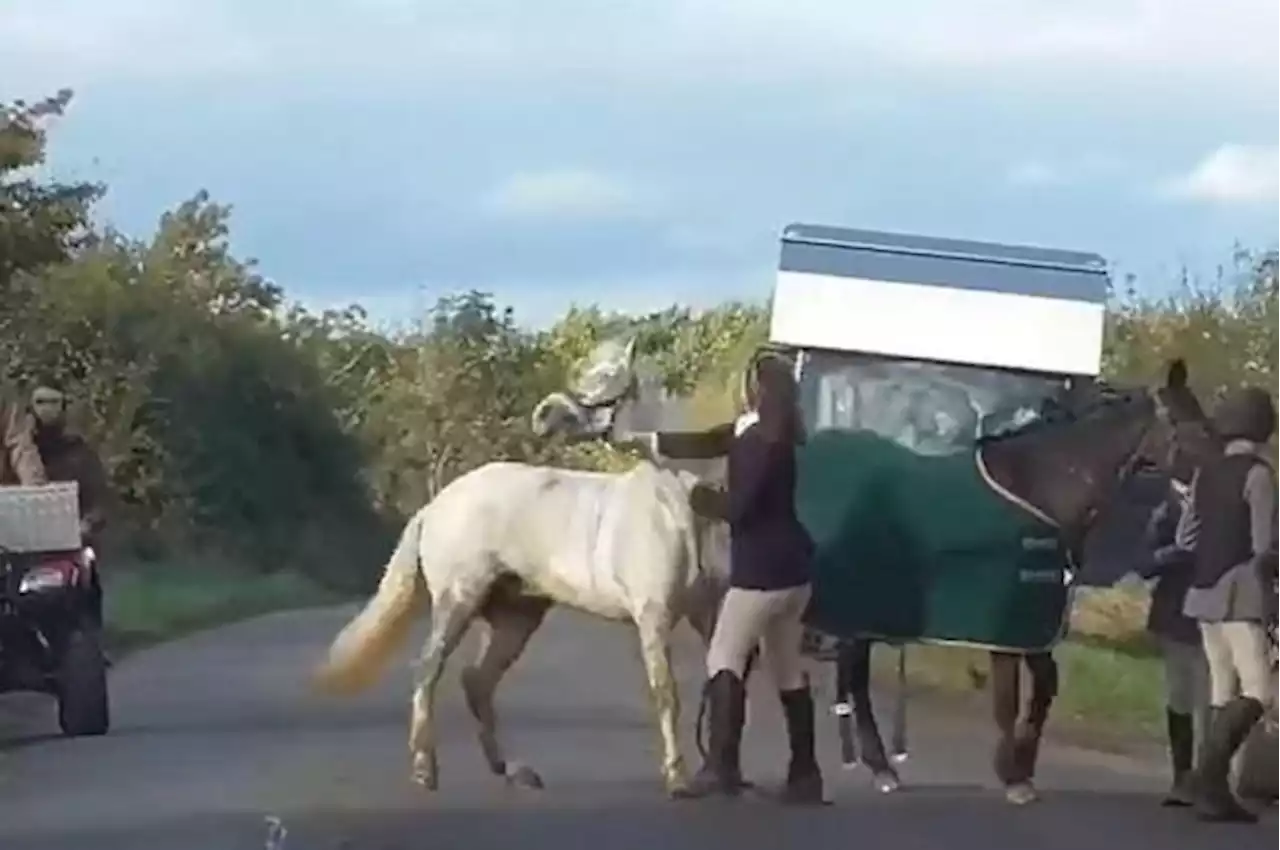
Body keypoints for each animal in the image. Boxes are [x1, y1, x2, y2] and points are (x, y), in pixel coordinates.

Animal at [311, 337, 732, 798]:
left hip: (516, 617)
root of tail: (435, 506)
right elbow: (666, 693)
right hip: (458, 602)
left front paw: (719, 774)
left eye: (607, 376)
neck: (676, 506)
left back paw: (512, 770)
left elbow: (722, 678)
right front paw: (678, 778)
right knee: (429, 669)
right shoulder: (653, 616)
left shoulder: (708, 613)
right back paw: (426, 771)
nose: (543, 415)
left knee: (477, 681)